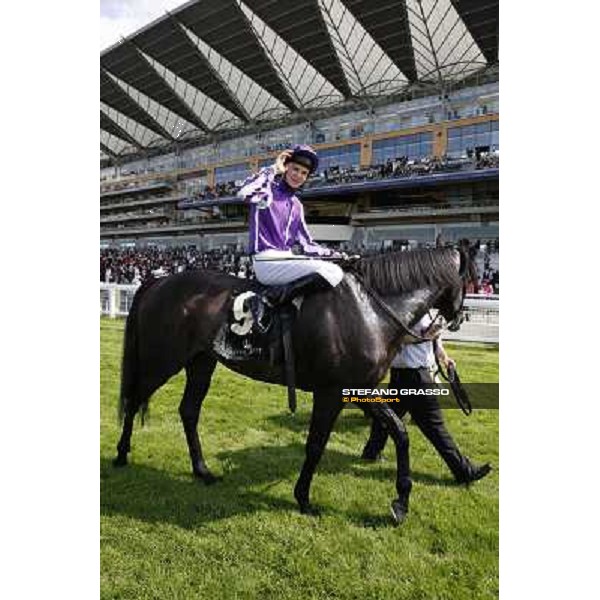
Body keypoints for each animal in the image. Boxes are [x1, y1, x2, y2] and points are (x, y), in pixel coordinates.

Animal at [112, 246, 468, 524]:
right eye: (469, 277)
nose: (458, 318)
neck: (369, 309)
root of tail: (158, 281)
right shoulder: (331, 391)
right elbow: (316, 444)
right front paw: (303, 498)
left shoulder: (357, 388)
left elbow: (400, 432)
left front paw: (400, 503)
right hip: (162, 360)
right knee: (135, 397)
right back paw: (121, 455)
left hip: (201, 362)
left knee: (188, 411)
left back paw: (202, 471)